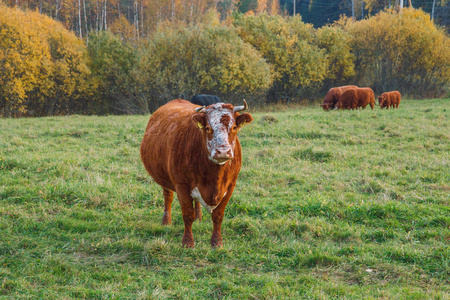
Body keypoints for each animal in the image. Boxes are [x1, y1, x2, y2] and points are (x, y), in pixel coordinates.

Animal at [141, 98, 253, 248]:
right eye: (208, 128)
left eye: (234, 127)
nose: (223, 151)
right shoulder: (181, 185)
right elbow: (188, 215)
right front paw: (188, 242)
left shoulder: (230, 185)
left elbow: (218, 215)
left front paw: (217, 242)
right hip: (164, 178)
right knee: (168, 197)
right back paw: (166, 221)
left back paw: (199, 217)